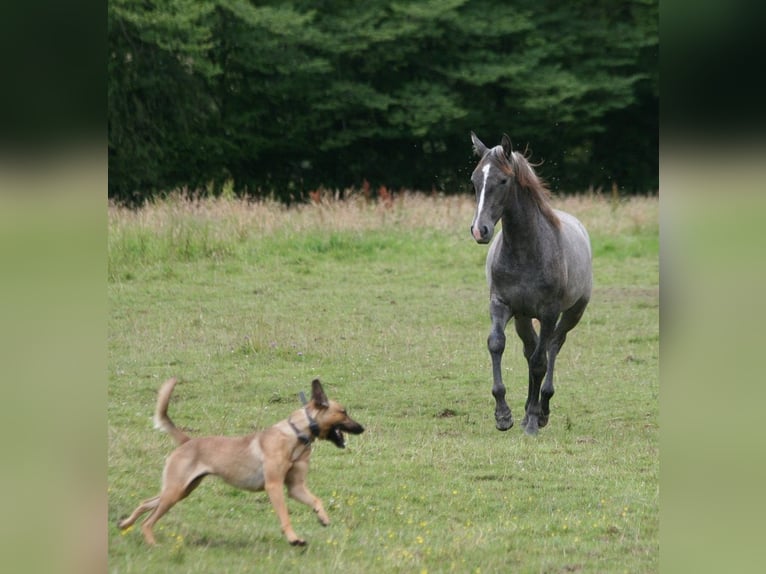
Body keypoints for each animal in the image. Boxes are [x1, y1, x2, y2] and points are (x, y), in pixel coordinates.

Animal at [118, 380, 364, 548]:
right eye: (343, 412)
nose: (362, 428)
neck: (296, 434)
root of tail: (187, 441)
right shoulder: (274, 486)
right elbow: (285, 516)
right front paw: (294, 538)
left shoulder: (295, 488)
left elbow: (316, 500)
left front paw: (322, 517)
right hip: (175, 491)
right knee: (148, 521)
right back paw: (152, 543)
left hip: (180, 490)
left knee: (145, 503)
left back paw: (125, 524)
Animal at [468, 132, 592, 436]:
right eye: (475, 180)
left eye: (503, 180)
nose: (479, 230)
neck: (525, 251)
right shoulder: (501, 305)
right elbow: (497, 344)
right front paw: (504, 415)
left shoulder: (548, 313)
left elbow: (539, 362)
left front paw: (534, 421)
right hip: (523, 317)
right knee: (531, 348)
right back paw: (526, 410)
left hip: (572, 313)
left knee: (552, 348)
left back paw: (541, 409)